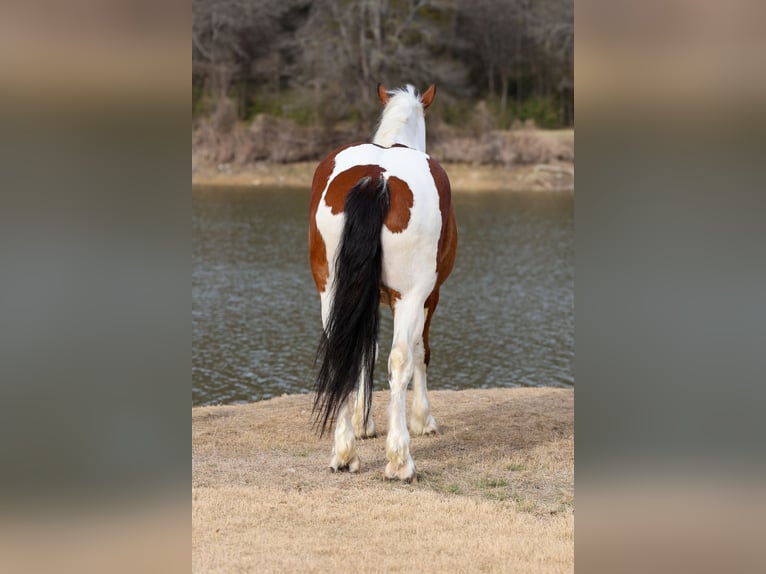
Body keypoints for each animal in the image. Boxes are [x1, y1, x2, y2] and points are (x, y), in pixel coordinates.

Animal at [308, 83, 457, 482]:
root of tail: (377, 177)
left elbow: (363, 353)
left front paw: (363, 425)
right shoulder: (430, 296)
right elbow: (419, 352)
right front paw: (423, 420)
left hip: (330, 289)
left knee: (339, 351)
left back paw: (344, 453)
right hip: (411, 295)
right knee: (401, 359)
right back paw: (400, 460)